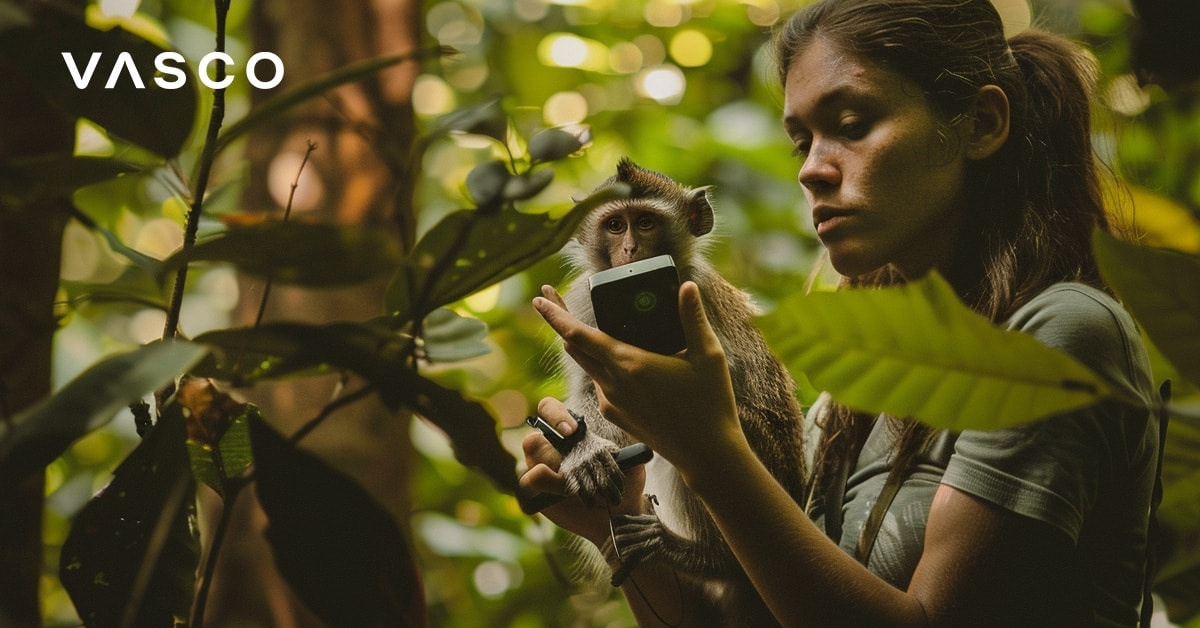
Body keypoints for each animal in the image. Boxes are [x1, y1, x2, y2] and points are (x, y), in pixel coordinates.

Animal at [549, 157, 806, 624]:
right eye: (615, 225)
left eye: (646, 222)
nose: (630, 251)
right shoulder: (582, 304)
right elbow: (587, 391)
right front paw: (584, 449)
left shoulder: (695, 295)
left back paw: (706, 558)